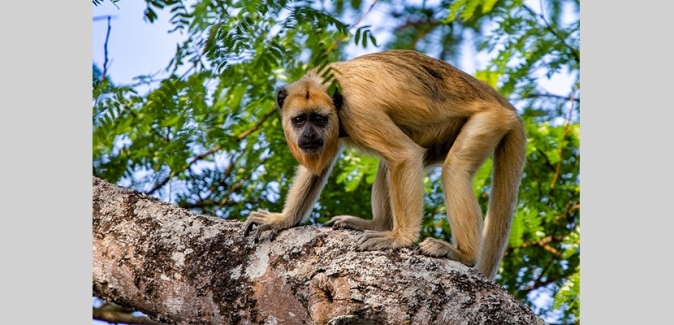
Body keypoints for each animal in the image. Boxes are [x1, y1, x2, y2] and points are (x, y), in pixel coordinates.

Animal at [244, 48, 528, 278]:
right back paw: (376, 224)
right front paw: (283, 219)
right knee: (387, 166)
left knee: (453, 168)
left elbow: (405, 155)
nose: (309, 136)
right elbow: (317, 169)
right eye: (299, 120)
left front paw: (399, 239)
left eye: (319, 119)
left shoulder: (358, 112)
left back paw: (463, 254)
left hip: (490, 120)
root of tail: (503, 104)